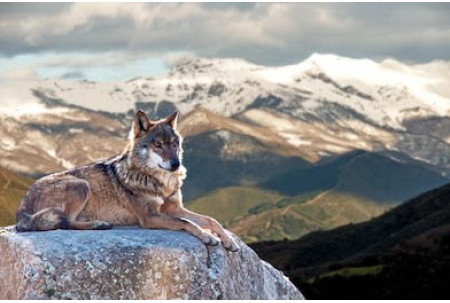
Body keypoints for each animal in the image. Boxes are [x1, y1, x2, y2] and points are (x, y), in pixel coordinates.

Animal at [14, 110, 239, 253]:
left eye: (174, 144)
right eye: (158, 145)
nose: (176, 164)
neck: (159, 181)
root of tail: (21, 208)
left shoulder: (173, 208)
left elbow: (210, 219)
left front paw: (228, 241)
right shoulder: (149, 217)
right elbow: (187, 223)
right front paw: (208, 236)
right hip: (81, 185)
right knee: (65, 222)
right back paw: (98, 224)